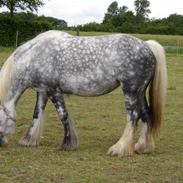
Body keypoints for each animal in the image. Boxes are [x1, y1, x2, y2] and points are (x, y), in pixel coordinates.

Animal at [0, 30, 167, 157]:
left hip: (130, 90)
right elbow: (36, 113)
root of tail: (146, 45)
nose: (1, 143)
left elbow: (63, 116)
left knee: (133, 116)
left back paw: (119, 149)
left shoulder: (54, 91)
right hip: (139, 91)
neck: (33, 56)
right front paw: (28, 140)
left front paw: (67, 144)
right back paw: (142, 147)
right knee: (146, 114)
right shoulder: (43, 91)